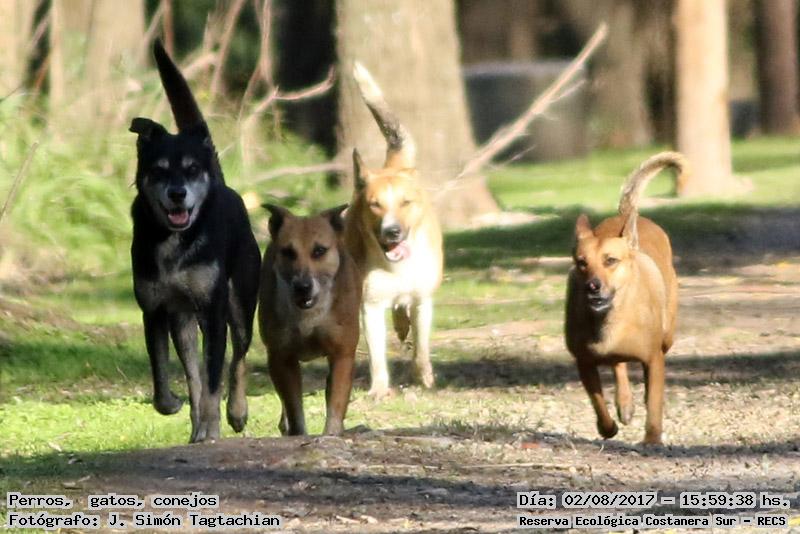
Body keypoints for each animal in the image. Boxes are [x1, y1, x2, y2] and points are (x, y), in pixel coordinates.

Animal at [129, 41, 261, 443]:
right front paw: (171, 405)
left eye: (191, 169)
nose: (177, 194)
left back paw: (235, 413)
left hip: (241, 303)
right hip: (183, 322)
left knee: (237, 359)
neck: (176, 243)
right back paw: (197, 423)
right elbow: (163, 374)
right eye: (159, 170)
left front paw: (215, 425)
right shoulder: (155, 311)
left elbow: (217, 377)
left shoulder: (214, 312)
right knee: (194, 374)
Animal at [258, 204, 360, 435]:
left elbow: (336, 401)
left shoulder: (342, 353)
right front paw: (297, 432)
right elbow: (294, 406)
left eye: (319, 251)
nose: (302, 286)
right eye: (288, 252)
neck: (309, 317)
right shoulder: (281, 356)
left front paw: (332, 433)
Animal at [344, 62, 443, 397]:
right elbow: (376, 354)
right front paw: (378, 389)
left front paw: (423, 375)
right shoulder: (370, 306)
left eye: (405, 202)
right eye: (374, 205)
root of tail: (394, 166)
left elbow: (422, 346)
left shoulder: (424, 300)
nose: (392, 232)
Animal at [565, 152, 686, 445]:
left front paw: (652, 437)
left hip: (667, 335)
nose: (593, 286)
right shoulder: (584, 361)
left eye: (611, 260)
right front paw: (607, 427)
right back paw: (625, 404)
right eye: (581, 262)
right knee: (618, 366)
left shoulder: (653, 356)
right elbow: (597, 400)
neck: (609, 321)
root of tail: (624, 217)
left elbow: (654, 399)